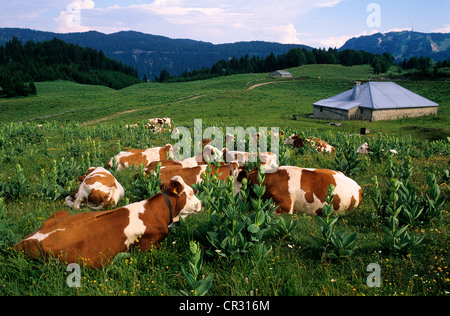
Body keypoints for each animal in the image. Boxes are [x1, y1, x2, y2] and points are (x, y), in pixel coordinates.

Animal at [14, 177, 200, 268]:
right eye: (191, 193)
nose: (201, 204)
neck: (154, 212)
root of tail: (25, 241)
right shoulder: (150, 246)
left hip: (59, 213)